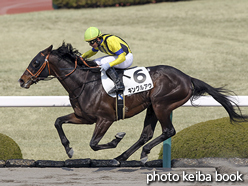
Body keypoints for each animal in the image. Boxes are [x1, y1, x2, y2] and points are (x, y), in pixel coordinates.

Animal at [18, 42, 247, 165]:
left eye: (36, 62)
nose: (22, 80)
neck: (84, 83)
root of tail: (187, 78)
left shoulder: (105, 119)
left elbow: (94, 143)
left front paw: (116, 138)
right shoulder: (84, 117)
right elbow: (58, 121)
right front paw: (69, 149)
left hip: (162, 104)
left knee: (169, 131)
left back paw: (141, 153)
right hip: (152, 107)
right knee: (147, 134)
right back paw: (121, 157)